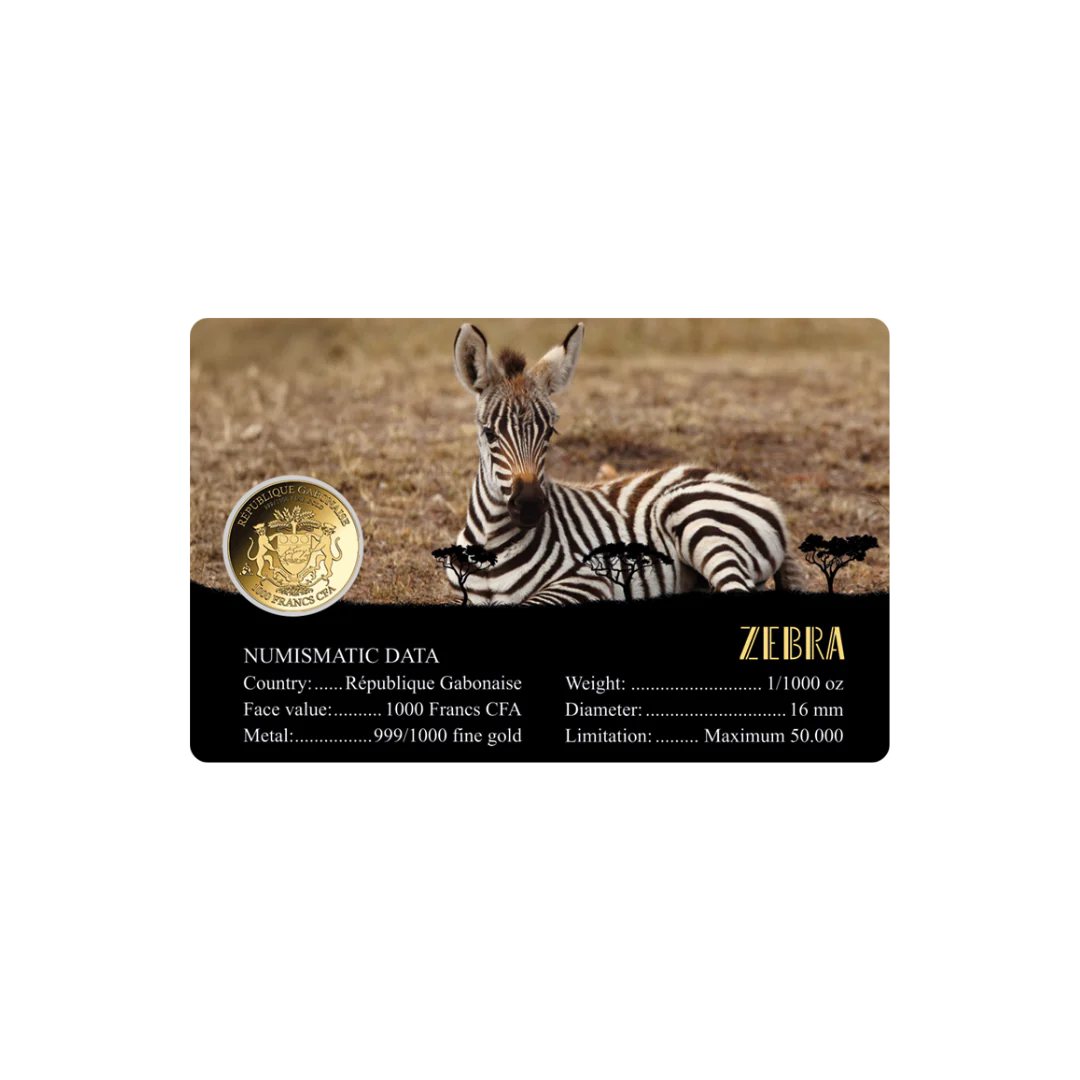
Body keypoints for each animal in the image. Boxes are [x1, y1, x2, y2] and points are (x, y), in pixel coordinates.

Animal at [448, 322, 800, 605]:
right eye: (489, 433)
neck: (493, 540)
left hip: (695, 516)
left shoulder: (587, 579)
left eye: (550, 432)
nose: (531, 506)